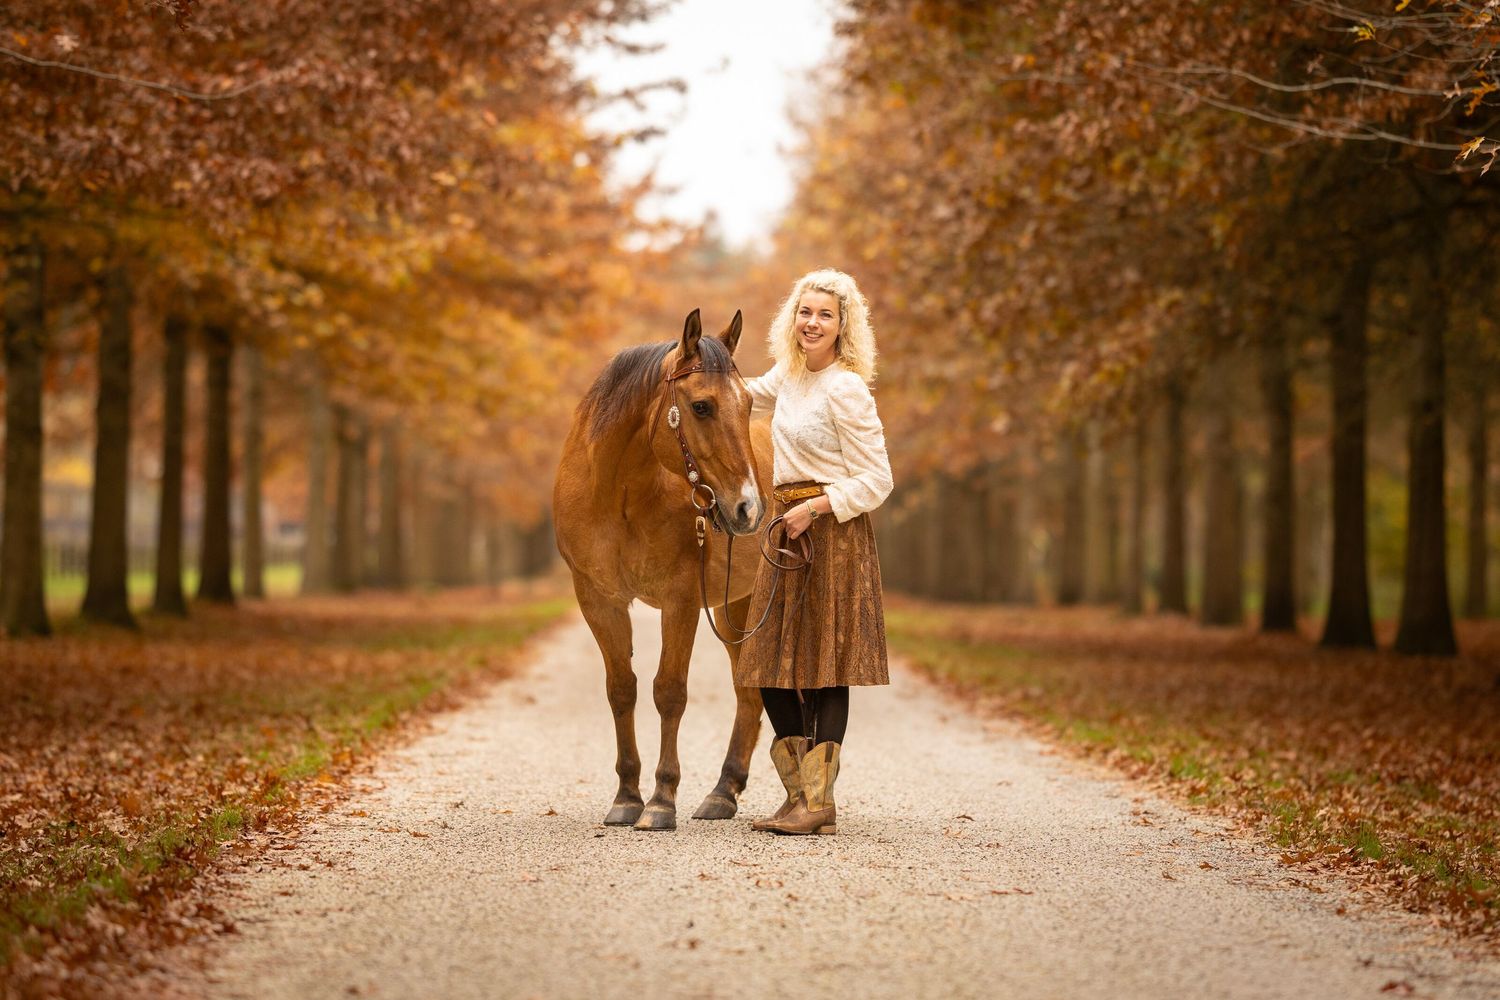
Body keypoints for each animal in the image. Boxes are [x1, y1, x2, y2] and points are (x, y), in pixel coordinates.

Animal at [553, 308, 773, 831]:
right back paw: (723, 792)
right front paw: (627, 797)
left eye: (748, 403)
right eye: (701, 406)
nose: (749, 509)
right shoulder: (599, 600)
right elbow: (622, 690)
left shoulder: (681, 600)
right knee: (747, 692)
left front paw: (660, 801)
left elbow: (669, 692)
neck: (618, 492)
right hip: (734, 608)